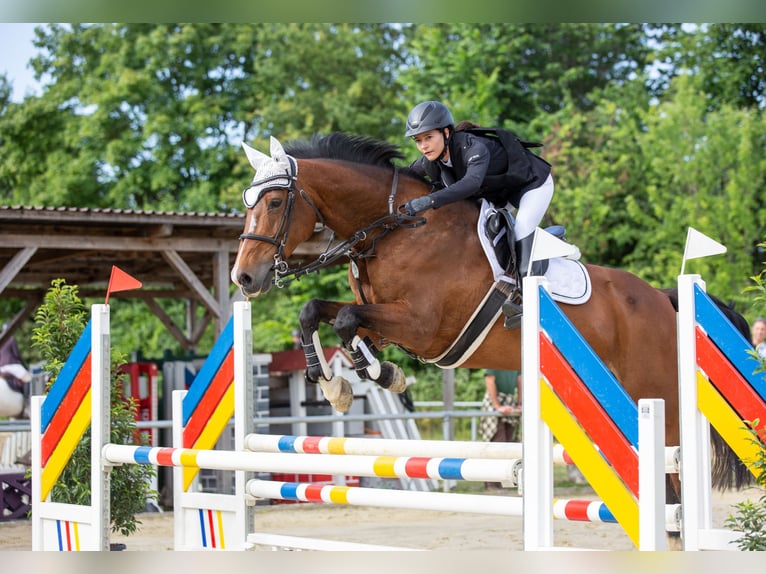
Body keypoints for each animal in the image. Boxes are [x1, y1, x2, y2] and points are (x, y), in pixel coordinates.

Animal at [231, 133, 752, 520]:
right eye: (247, 202)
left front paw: (378, 376)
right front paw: (338, 382)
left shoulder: (422, 326)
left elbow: (345, 320)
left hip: (659, 396)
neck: (393, 230)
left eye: (274, 202)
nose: (244, 278)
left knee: (675, 469)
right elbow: (319, 312)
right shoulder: (383, 319)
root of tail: (663, 298)